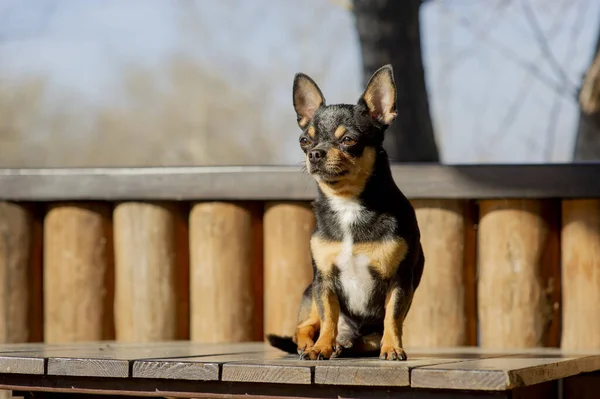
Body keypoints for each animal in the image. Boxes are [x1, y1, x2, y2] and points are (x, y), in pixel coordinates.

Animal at [264, 64, 424, 360]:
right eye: (304, 140)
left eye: (349, 140)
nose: (315, 153)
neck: (348, 204)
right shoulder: (325, 281)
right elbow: (329, 317)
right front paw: (321, 347)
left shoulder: (398, 280)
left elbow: (393, 317)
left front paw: (392, 347)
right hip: (310, 292)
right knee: (303, 328)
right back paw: (313, 345)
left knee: (365, 339)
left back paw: (345, 345)